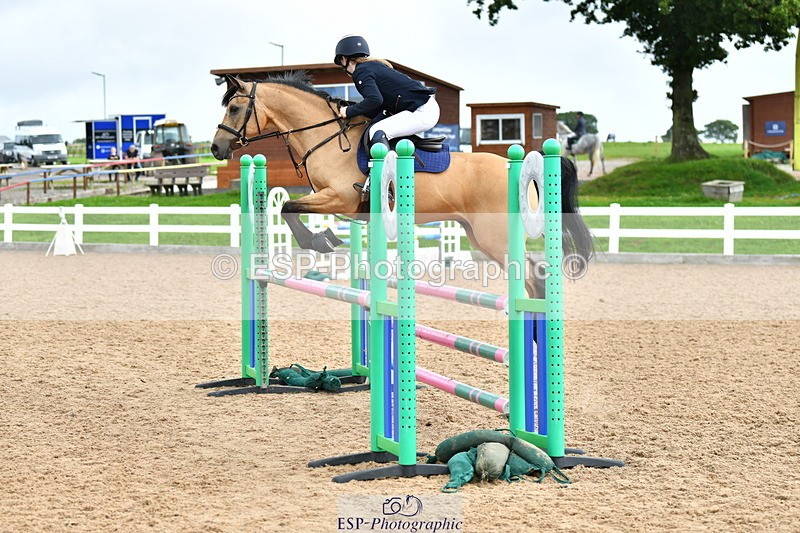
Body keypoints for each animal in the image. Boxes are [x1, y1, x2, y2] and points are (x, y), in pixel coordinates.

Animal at [211, 72, 594, 297]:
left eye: (234, 108)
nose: (216, 148)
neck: (327, 138)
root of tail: (523, 164)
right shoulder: (328, 199)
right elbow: (288, 207)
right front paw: (327, 238)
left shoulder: (339, 198)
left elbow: (289, 207)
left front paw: (321, 240)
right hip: (478, 235)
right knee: (534, 276)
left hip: (495, 236)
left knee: (532, 276)